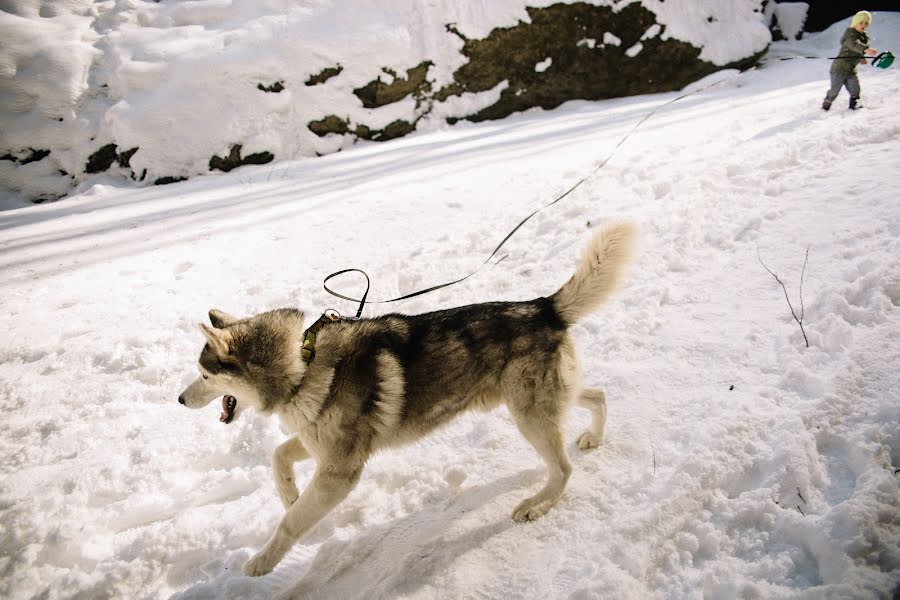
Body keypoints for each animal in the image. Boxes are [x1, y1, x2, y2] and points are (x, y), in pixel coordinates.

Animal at [178, 221, 632, 576]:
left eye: (204, 375)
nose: (180, 400)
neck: (303, 364)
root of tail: (542, 306)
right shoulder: (317, 442)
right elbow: (279, 457)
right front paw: (289, 493)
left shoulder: (340, 471)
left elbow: (291, 523)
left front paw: (262, 561)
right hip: (540, 401)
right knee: (598, 395)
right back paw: (593, 437)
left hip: (529, 415)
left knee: (563, 469)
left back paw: (538, 505)